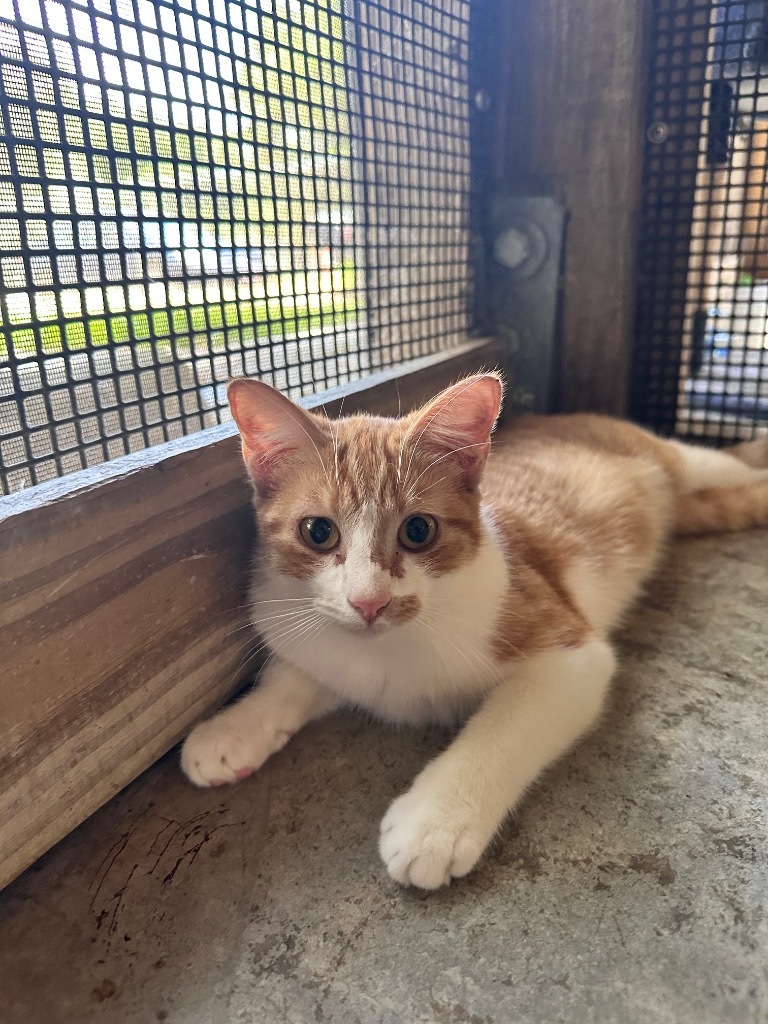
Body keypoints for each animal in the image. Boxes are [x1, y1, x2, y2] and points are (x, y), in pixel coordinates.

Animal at [183, 374, 768, 888]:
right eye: (318, 532)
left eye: (419, 530)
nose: (370, 601)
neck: (388, 650)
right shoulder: (317, 640)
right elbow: (294, 674)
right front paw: (236, 726)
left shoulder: (570, 652)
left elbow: (503, 728)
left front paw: (436, 821)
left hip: (683, 459)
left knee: (725, 461)